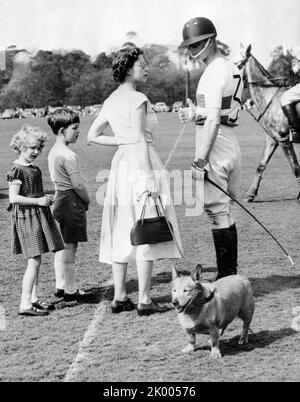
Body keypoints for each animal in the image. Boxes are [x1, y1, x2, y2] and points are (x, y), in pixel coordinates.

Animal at [236, 44, 298, 203]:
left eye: (237, 63)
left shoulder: (284, 140)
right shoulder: (272, 139)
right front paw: (250, 194)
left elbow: (295, 166)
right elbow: (261, 165)